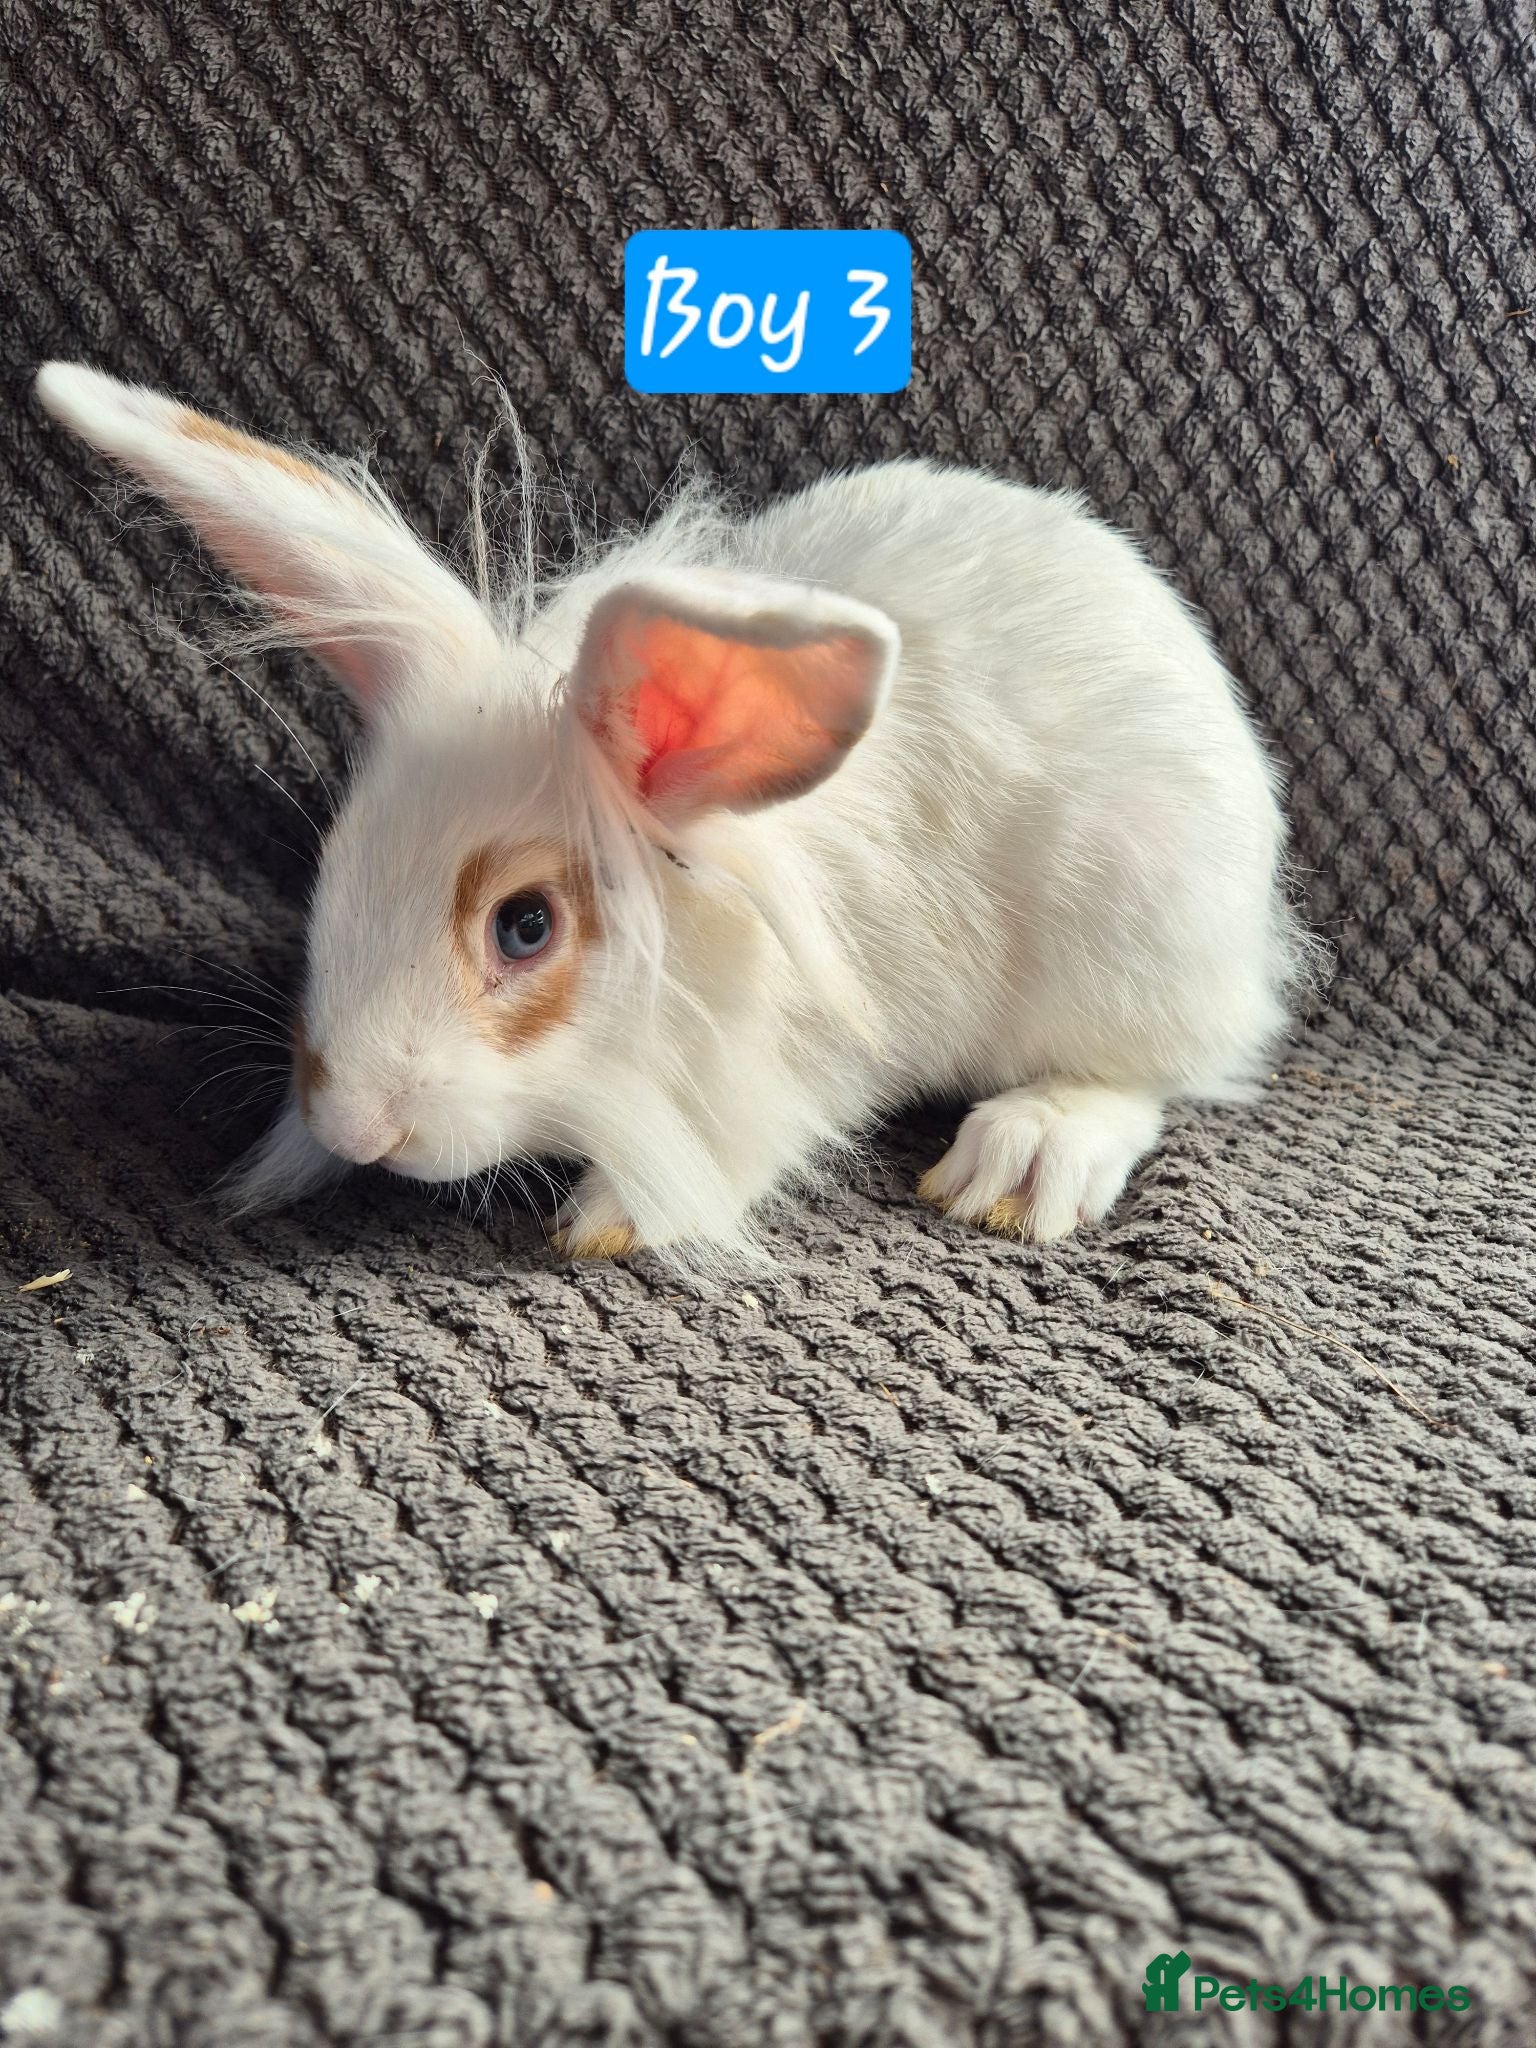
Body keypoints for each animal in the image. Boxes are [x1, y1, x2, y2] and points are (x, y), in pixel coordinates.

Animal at [34, 361, 1317, 1266]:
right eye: (333, 868)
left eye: (526, 927)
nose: (354, 1124)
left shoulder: (806, 1058)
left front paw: (614, 1215)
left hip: (1140, 937)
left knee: (1156, 1071)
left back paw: (1024, 1157)